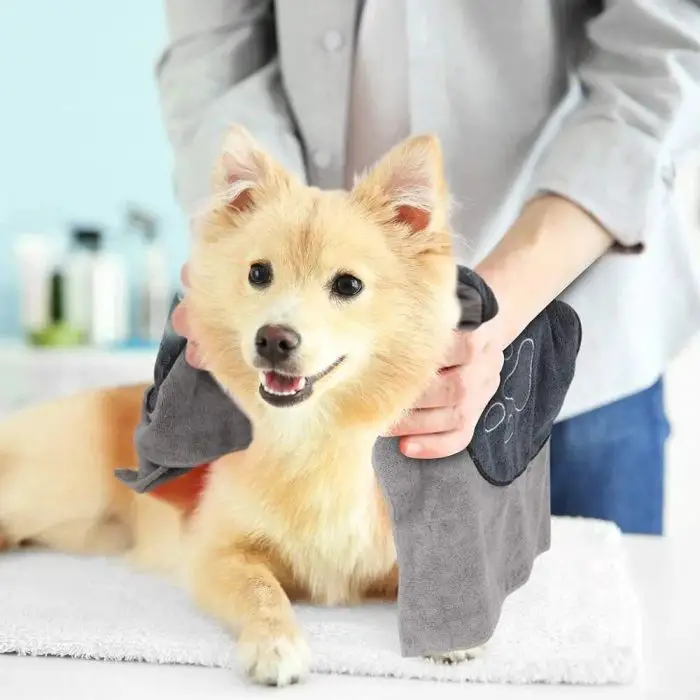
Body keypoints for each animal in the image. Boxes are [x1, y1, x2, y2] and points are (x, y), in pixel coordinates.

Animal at [0, 126, 478, 684]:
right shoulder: (217, 553)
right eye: (258, 274)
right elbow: (261, 590)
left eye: (348, 285)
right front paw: (275, 642)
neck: (314, 437)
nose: (273, 338)